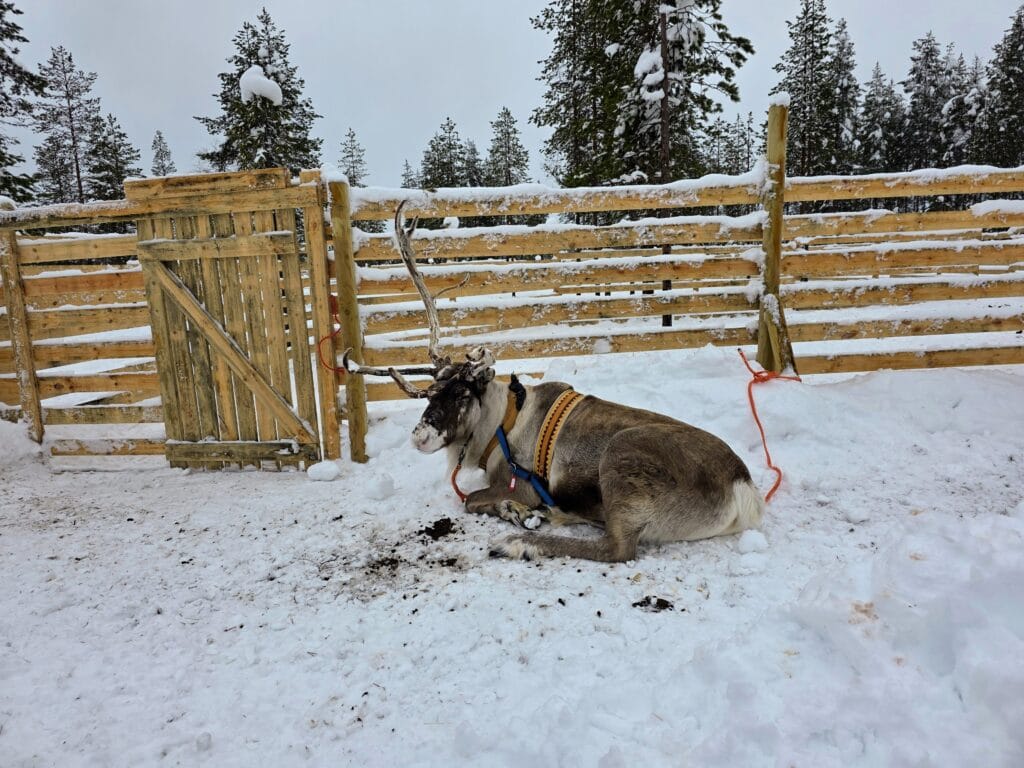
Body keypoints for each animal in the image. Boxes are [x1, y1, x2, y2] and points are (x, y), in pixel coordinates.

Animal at [343, 202, 765, 563]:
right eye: (430, 394)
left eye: (462, 393)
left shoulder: (520, 483)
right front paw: (520, 511)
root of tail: (743, 489)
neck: (498, 425)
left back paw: (519, 541)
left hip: (622, 454)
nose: (420, 437)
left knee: (618, 548)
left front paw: (516, 513)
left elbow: (469, 499)